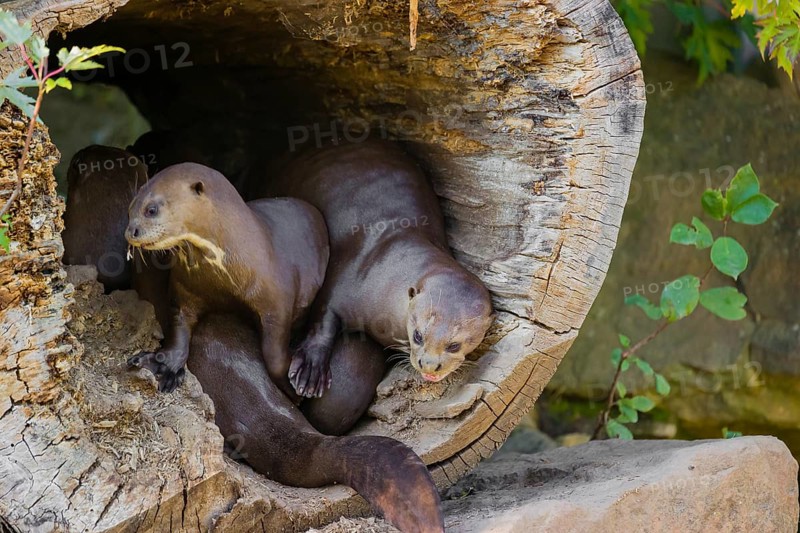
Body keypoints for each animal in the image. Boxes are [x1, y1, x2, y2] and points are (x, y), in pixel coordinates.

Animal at [125, 163, 328, 396]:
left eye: (151, 210)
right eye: (129, 209)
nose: (131, 231)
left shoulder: (278, 302)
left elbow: (274, 355)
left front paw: (299, 383)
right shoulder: (184, 291)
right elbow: (179, 327)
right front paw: (163, 363)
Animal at [250, 140, 493, 398]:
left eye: (454, 345)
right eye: (418, 335)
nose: (429, 365)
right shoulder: (343, 279)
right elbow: (322, 319)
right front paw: (310, 369)